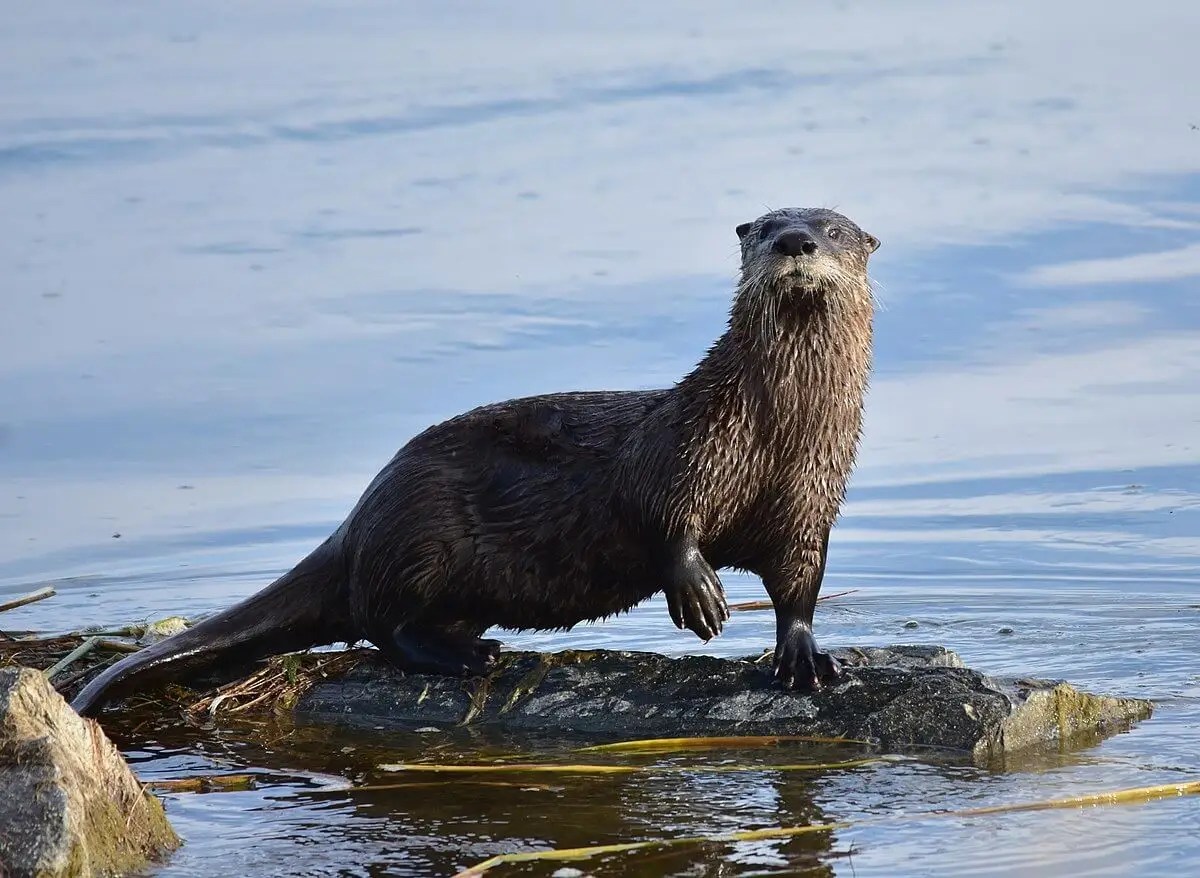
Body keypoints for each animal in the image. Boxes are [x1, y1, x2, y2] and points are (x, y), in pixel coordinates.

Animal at [71, 206, 880, 716]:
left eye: (834, 229)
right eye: (766, 227)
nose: (796, 242)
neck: (776, 435)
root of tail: (358, 519)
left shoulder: (810, 498)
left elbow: (799, 582)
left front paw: (805, 657)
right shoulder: (688, 447)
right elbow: (662, 516)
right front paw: (700, 593)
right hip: (422, 534)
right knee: (380, 623)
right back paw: (465, 655)